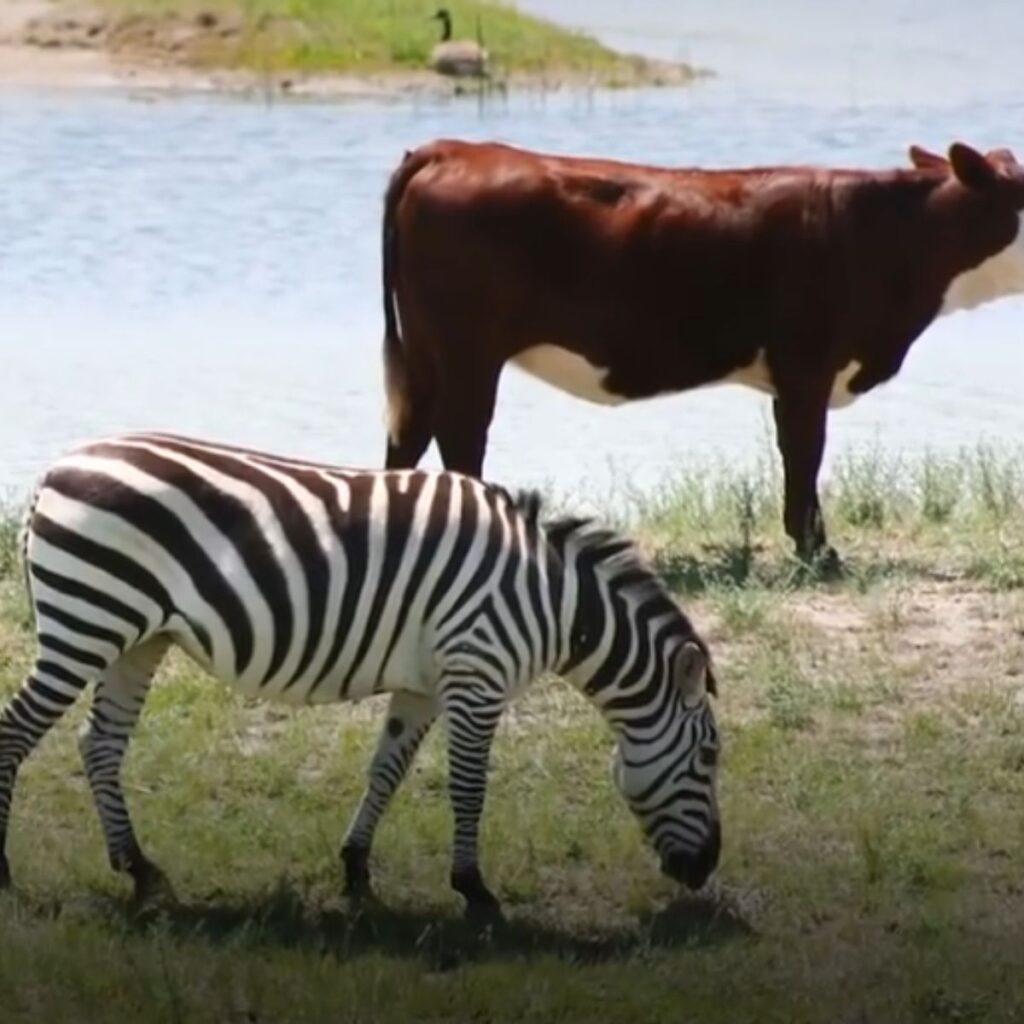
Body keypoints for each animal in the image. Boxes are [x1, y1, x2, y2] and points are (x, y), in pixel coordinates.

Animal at [0, 430, 720, 913]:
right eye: (710, 758)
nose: (706, 871)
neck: (552, 600)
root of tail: (52, 472)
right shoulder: (477, 674)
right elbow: (469, 787)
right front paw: (475, 891)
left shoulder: (426, 685)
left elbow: (387, 770)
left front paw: (354, 870)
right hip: (86, 622)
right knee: (16, 735)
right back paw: (8, 872)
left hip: (134, 639)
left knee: (99, 744)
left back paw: (141, 870)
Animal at [378, 139, 1024, 565]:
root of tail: (454, 148)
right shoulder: (805, 364)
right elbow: (804, 452)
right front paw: (816, 550)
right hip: (467, 351)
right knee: (461, 435)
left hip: (428, 352)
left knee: (408, 435)